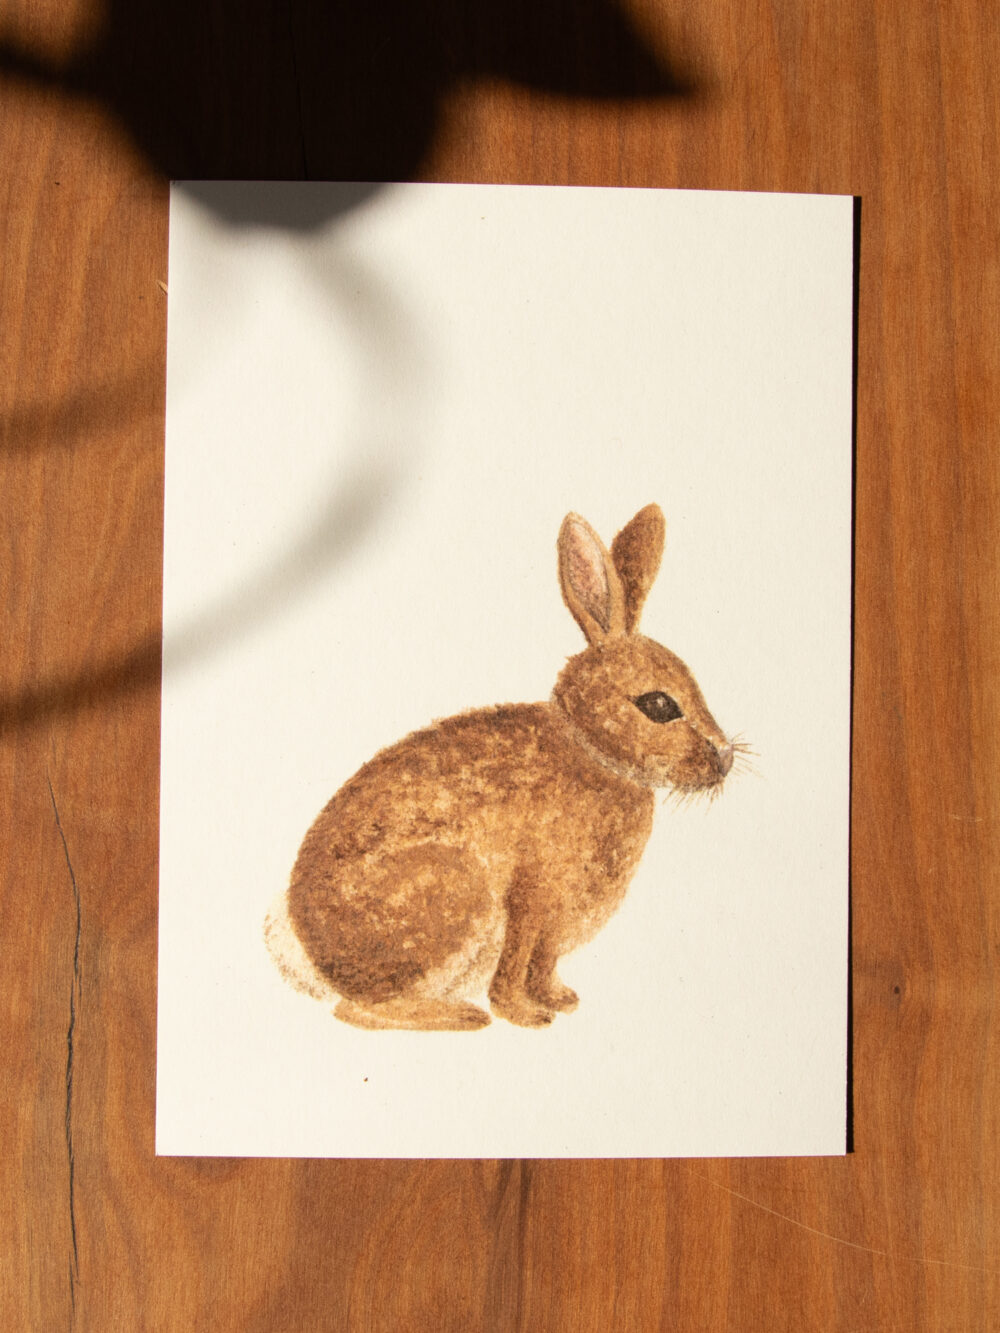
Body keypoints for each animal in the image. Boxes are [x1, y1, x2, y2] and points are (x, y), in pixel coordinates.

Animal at [265, 504, 735, 1030]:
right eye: (658, 705)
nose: (725, 756)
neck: (590, 747)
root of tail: (313, 956)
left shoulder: (553, 928)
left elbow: (543, 964)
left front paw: (560, 1000)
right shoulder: (530, 895)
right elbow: (515, 963)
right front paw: (525, 1016)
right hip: (453, 891)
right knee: (358, 1010)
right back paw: (462, 1017)